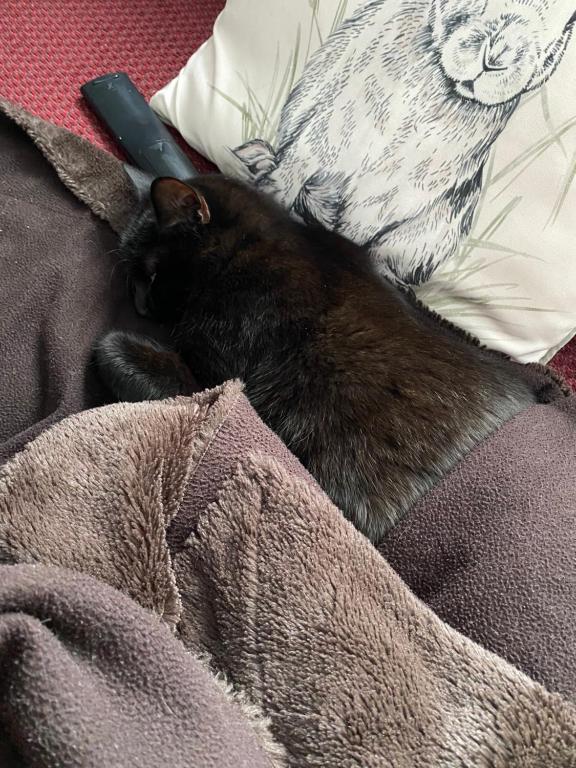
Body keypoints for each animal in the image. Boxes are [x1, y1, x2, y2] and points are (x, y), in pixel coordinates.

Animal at [95, 176, 540, 544]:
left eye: (152, 274)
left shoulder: (221, 374)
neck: (250, 251)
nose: (139, 306)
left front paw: (118, 349)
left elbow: (116, 352)